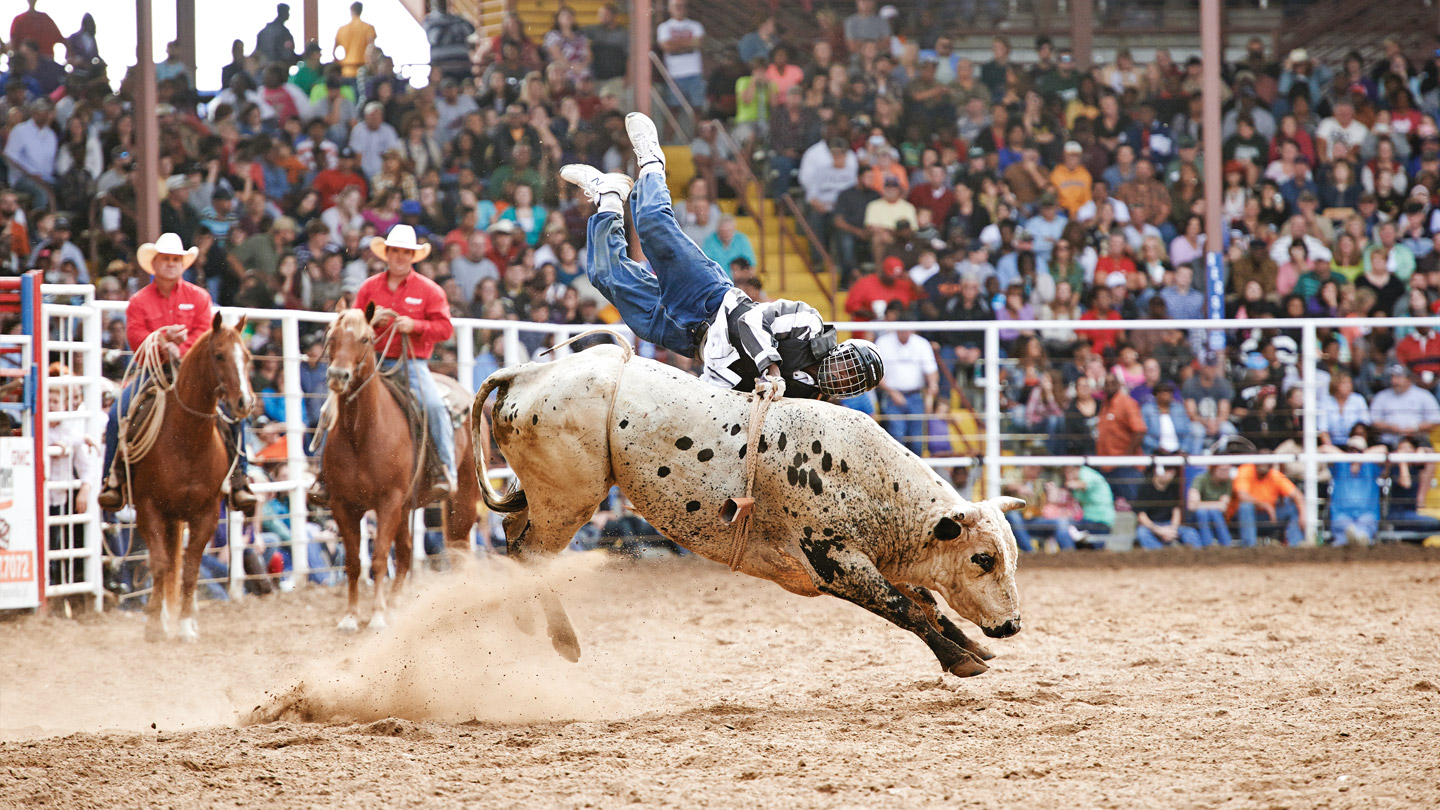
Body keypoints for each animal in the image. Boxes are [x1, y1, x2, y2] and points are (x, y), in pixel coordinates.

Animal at [129, 312, 256, 639]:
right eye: (219, 355)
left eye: (247, 356)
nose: (244, 402)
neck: (187, 437)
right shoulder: (149, 508)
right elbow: (160, 564)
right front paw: (153, 624)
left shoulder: (207, 512)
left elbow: (190, 568)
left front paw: (186, 625)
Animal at [318, 299, 480, 628]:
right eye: (332, 337)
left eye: (365, 339)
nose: (338, 376)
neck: (360, 434)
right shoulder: (343, 504)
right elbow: (353, 562)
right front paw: (351, 616)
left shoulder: (388, 501)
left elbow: (380, 557)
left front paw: (377, 615)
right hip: (406, 507)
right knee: (406, 554)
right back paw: (395, 604)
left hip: (462, 495)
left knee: (458, 546)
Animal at [472, 340, 1025, 674]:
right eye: (982, 558)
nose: (1013, 625)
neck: (866, 479)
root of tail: (530, 371)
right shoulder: (834, 562)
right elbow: (904, 607)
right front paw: (962, 659)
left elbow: (926, 602)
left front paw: (974, 645)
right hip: (570, 496)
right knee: (532, 555)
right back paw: (564, 641)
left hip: (546, 495)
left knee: (513, 536)